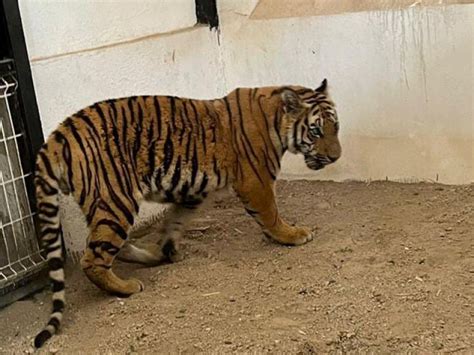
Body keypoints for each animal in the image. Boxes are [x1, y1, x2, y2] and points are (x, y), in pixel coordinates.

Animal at [32, 78, 340, 348]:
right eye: (315, 131)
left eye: (335, 128)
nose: (336, 157)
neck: (275, 117)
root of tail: (59, 134)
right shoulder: (256, 181)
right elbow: (271, 214)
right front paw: (293, 234)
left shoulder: (192, 192)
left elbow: (175, 220)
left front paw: (167, 249)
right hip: (116, 200)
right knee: (93, 257)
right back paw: (127, 287)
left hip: (106, 206)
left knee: (100, 244)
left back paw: (150, 256)